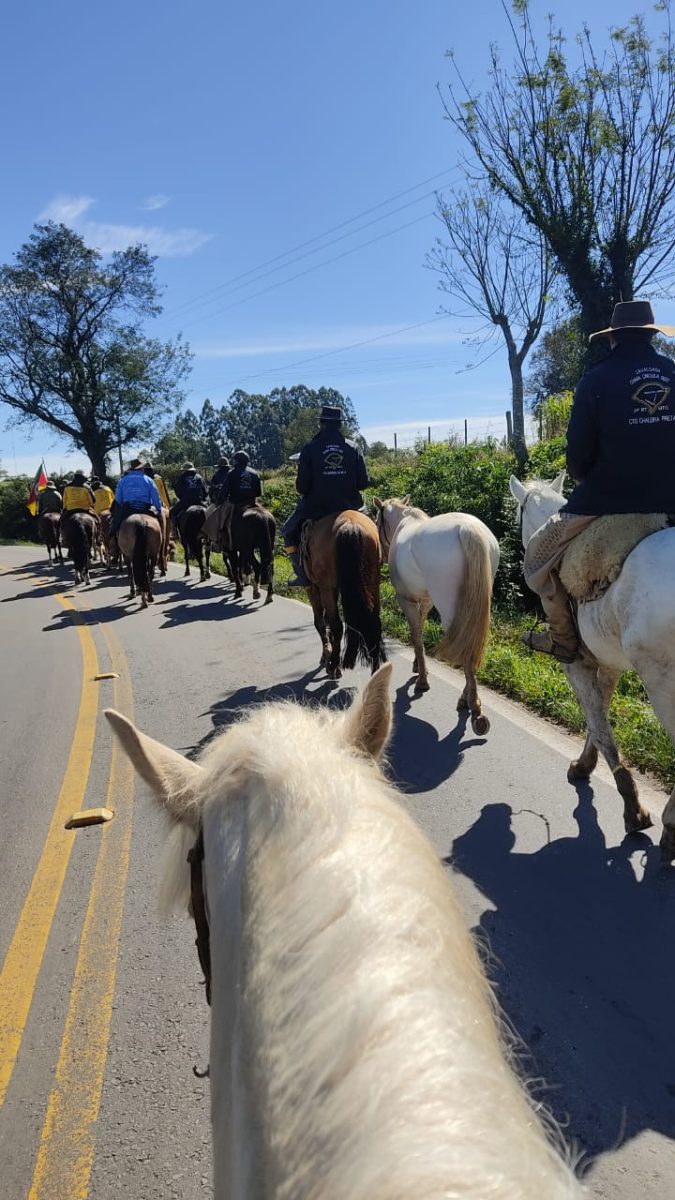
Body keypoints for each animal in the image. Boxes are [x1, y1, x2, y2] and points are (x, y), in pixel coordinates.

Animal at [305, 511, 384, 681]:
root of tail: (351, 525)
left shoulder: (313, 588)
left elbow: (320, 622)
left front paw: (326, 656)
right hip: (373, 583)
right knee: (374, 623)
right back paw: (375, 671)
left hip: (326, 587)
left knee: (336, 625)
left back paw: (334, 666)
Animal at [369, 494, 497, 729]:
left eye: (377, 521)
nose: (381, 555)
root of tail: (467, 528)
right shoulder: (426, 600)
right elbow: (420, 627)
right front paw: (418, 666)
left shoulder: (406, 599)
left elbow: (416, 636)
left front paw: (422, 680)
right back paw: (469, 699)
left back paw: (472, 705)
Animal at [506, 472, 672, 859]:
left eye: (519, 511)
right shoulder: (608, 664)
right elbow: (599, 719)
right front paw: (585, 764)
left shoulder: (576, 663)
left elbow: (597, 722)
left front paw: (633, 810)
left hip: (662, 684)